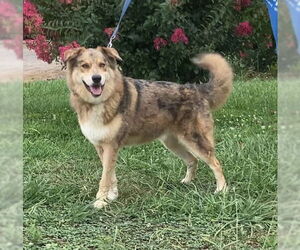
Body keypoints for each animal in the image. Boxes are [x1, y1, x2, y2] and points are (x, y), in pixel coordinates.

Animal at [64, 46, 233, 208]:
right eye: (85, 66)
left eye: (102, 65)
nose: (97, 79)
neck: (98, 102)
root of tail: (196, 89)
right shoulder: (101, 147)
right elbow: (111, 175)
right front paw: (112, 196)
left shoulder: (111, 146)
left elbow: (104, 178)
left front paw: (100, 201)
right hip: (173, 143)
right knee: (193, 160)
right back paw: (186, 182)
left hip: (194, 141)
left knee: (216, 164)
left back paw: (222, 190)